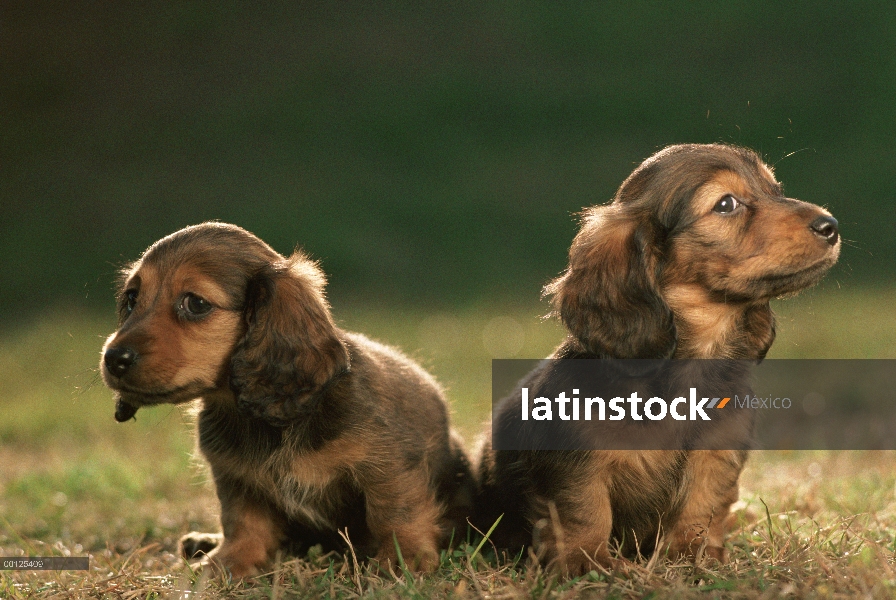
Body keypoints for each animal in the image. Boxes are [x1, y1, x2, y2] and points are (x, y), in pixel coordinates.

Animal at [100, 224, 472, 576]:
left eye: (196, 303)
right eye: (131, 298)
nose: (113, 359)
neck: (271, 418)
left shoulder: (388, 461)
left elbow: (394, 510)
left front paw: (402, 558)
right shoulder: (235, 477)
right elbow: (243, 521)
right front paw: (229, 562)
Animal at [476, 143, 840, 576]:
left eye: (776, 189)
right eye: (726, 204)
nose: (831, 226)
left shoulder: (717, 454)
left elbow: (700, 509)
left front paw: (693, 557)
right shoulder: (575, 462)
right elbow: (585, 511)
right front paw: (587, 562)